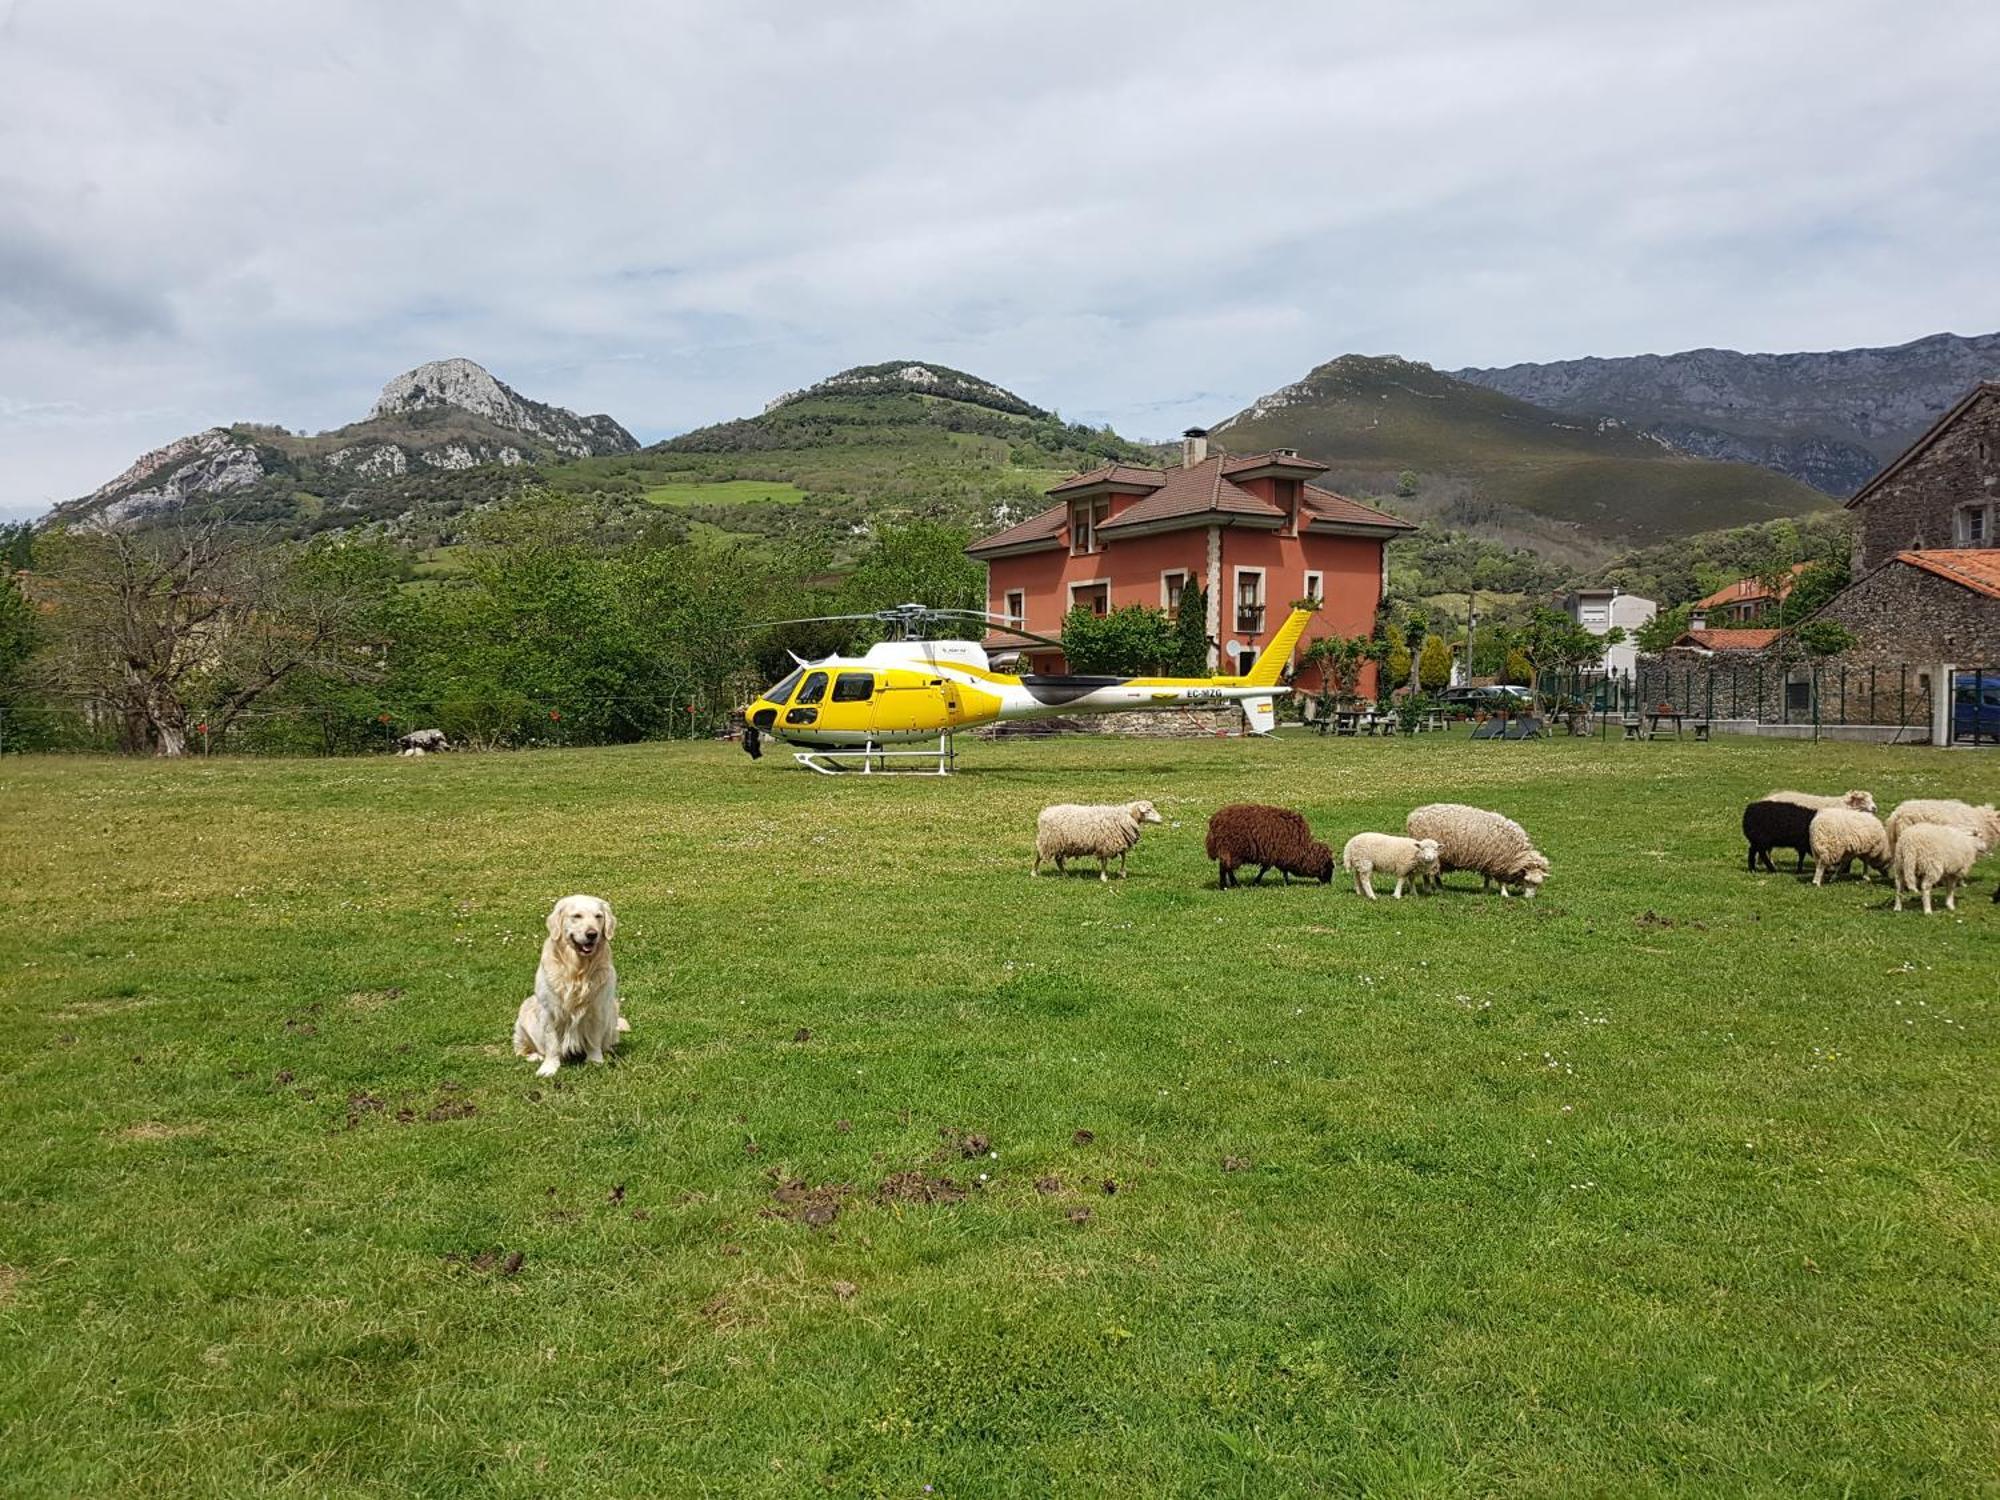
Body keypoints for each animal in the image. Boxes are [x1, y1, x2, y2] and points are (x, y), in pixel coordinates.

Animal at [508, 900, 624, 1072]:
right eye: (577, 916)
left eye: (598, 916)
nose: (592, 934)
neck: (578, 970)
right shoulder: (549, 1011)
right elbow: (551, 1043)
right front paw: (549, 1067)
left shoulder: (597, 1008)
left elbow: (593, 1039)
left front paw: (595, 1061)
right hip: (524, 1016)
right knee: (522, 1049)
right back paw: (535, 1056)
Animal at [1040, 800, 1168, 880]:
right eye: (1148, 810)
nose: (1161, 819)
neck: (1127, 817)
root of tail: (1044, 813)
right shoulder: (1106, 843)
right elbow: (1105, 861)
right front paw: (1103, 877)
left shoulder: (1116, 841)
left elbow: (1123, 856)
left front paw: (1122, 873)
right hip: (1050, 841)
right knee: (1041, 856)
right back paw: (1036, 872)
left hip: (1056, 843)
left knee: (1056, 860)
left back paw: (1064, 874)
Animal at [1200, 812, 1328, 892]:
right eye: (1327, 866)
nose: (1328, 883)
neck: (1302, 847)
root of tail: (1214, 823)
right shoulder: (1277, 854)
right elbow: (1265, 870)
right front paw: (1256, 882)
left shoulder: (1279, 855)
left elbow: (1281, 870)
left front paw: (1286, 882)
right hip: (1230, 850)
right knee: (1224, 868)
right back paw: (1224, 887)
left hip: (1231, 852)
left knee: (1227, 868)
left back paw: (1234, 884)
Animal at [1400, 804, 1552, 900]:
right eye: (1527, 880)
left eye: (1539, 883)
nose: (1529, 899)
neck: (1516, 852)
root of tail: (1413, 815)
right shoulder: (1500, 862)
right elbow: (1501, 880)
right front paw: (1504, 894)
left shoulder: (1489, 860)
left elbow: (1487, 877)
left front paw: (1485, 890)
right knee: (1429, 873)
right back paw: (1432, 889)